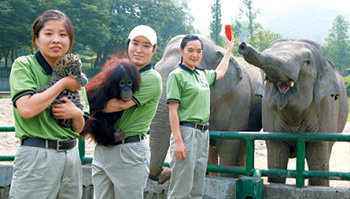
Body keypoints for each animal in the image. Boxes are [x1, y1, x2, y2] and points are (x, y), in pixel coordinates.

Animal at [238, 38, 348, 187]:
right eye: (267, 51)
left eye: (307, 62)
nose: (243, 45)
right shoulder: (268, 110)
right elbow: (276, 162)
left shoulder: (326, 108)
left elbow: (318, 161)